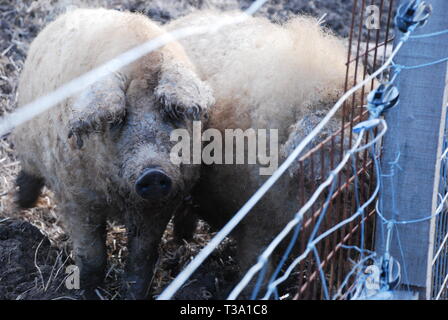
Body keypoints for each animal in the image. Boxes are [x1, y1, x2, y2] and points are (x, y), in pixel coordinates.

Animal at [10, 8, 214, 300]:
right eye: (119, 118)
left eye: (170, 113)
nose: (153, 173)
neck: (119, 198)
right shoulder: (77, 198)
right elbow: (91, 254)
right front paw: (88, 292)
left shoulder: (161, 204)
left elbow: (142, 257)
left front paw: (133, 294)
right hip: (26, 136)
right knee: (29, 172)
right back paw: (19, 205)